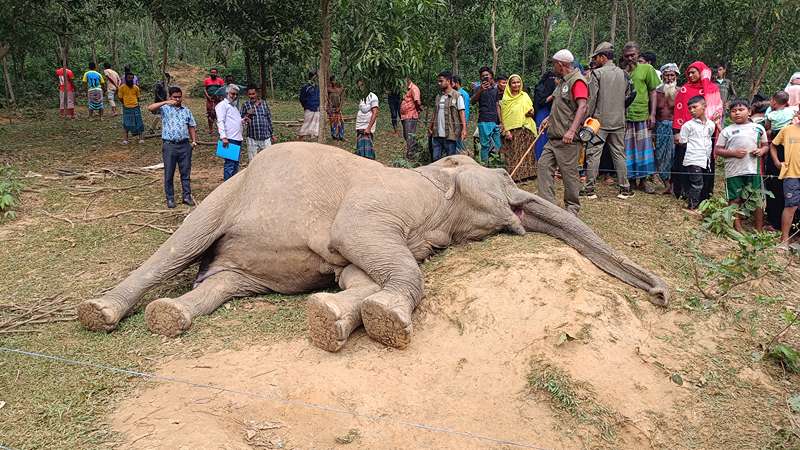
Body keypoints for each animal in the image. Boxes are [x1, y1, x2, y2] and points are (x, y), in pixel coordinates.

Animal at [79, 143, 668, 352]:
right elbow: (356, 241)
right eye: (503, 176)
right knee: (179, 246)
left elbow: (356, 276)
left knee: (224, 282)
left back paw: (170, 317)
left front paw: (334, 318)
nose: (663, 295)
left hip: (246, 267)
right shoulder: (377, 203)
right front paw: (387, 321)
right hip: (227, 195)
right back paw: (100, 312)